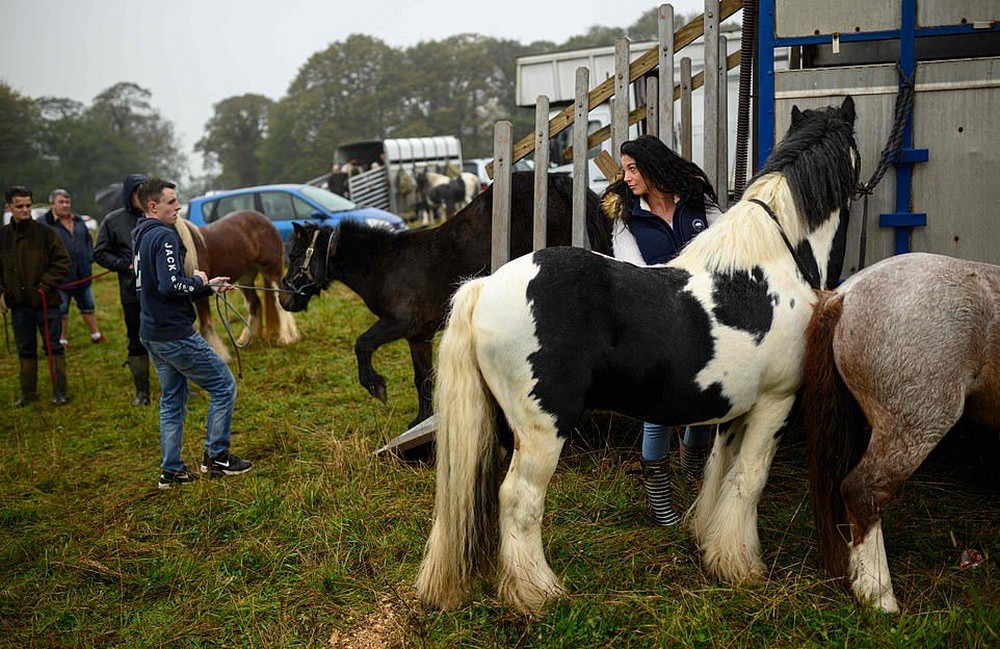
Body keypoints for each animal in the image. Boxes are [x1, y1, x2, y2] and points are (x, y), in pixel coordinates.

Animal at [174, 210, 298, 360]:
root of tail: (264, 219)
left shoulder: (200, 296)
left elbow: (205, 325)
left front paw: (221, 354)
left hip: (271, 270)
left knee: (278, 301)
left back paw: (287, 337)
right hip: (246, 277)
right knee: (254, 303)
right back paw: (248, 338)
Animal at [278, 171, 612, 430]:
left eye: (294, 255)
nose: (283, 299)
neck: (383, 265)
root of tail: (553, 178)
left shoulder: (397, 324)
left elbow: (362, 344)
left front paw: (376, 386)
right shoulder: (418, 336)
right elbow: (422, 378)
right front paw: (421, 419)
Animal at [414, 96, 860, 612]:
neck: (767, 269)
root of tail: (486, 286)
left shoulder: (737, 410)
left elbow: (719, 473)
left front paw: (711, 547)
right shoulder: (775, 401)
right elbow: (749, 480)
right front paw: (744, 567)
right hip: (543, 428)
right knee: (519, 500)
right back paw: (537, 592)